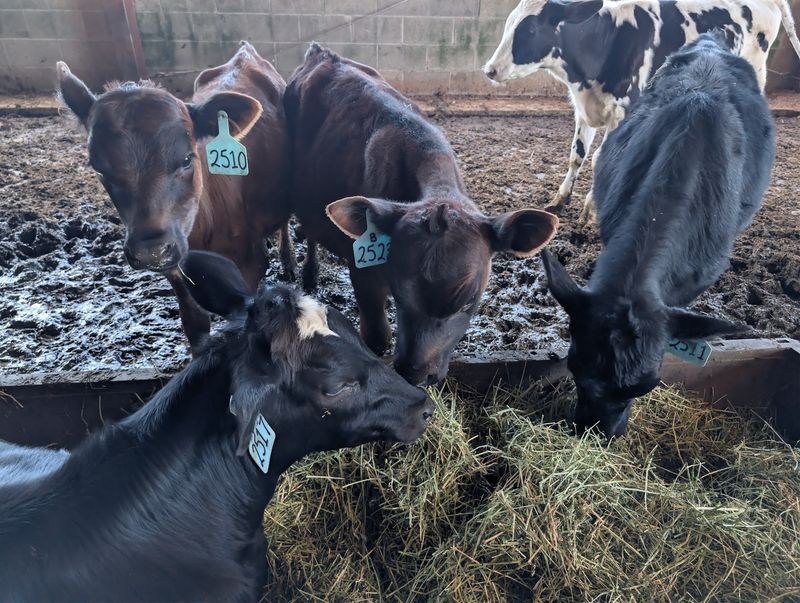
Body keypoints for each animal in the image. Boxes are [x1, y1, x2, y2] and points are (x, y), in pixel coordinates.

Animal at [57, 41, 295, 352]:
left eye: (186, 158)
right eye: (98, 168)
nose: (151, 251)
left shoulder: (249, 263)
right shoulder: (176, 265)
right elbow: (194, 322)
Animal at [284, 43, 560, 387]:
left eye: (468, 301)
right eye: (400, 293)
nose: (414, 373)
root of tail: (322, 53)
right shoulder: (363, 274)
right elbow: (377, 340)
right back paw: (306, 273)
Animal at [483, 0, 800, 223]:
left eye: (530, 29)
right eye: (509, 24)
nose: (489, 69)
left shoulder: (623, 109)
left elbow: (599, 159)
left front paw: (591, 211)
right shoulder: (584, 107)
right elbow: (577, 155)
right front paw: (560, 199)